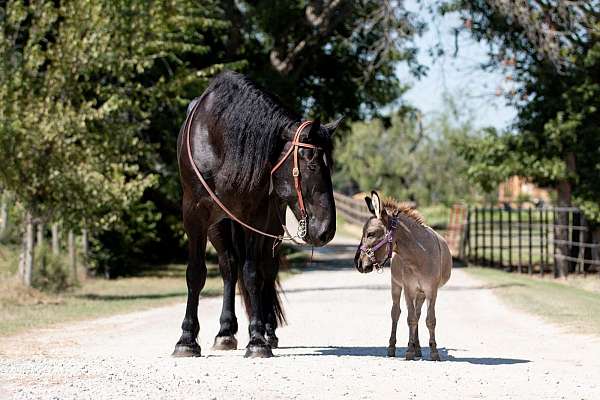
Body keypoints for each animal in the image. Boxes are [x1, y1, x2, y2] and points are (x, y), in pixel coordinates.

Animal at [176, 70, 340, 358]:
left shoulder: (256, 216)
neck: (221, 141)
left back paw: (267, 331)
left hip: (271, 225)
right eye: (310, 163)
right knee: (229, 266)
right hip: (220, 225)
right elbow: (196, 272)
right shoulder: (195, 214)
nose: (326, 230)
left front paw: (257, 340)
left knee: (266, 270)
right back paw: (225, 332)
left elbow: (253, 273)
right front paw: (186, 339)